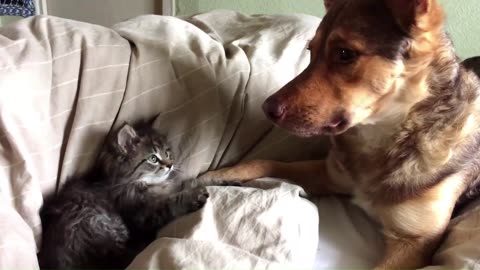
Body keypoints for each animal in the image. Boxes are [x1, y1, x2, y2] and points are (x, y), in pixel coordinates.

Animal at [36, 121, 209, 268]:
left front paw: (191, 183)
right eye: (153, 158)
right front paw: (194, 194)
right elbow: (171, 202)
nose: (170, 165)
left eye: (167, 153)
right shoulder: (142, 215)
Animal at [201, 0, 480, 270]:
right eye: (310, 50)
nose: (266, 109)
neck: (383, 138)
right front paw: (222, 174)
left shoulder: (413, 244)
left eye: (345, 54)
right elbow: (265, 162)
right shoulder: (331, 176)